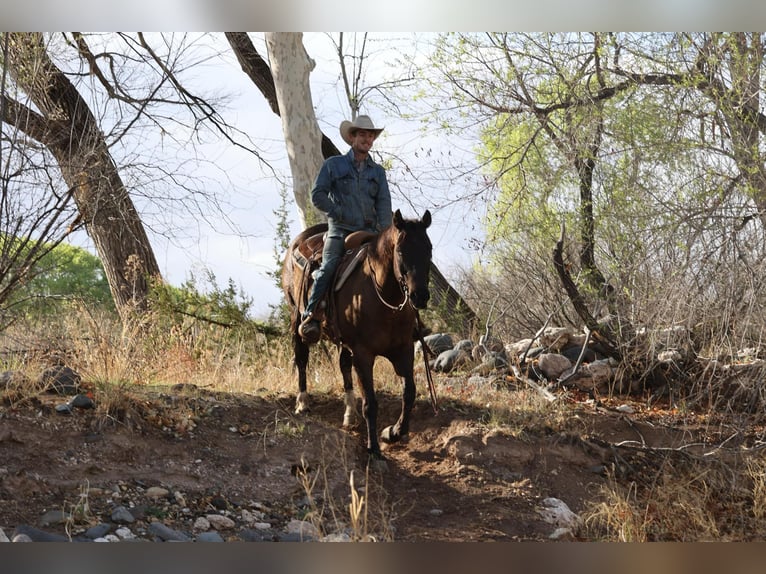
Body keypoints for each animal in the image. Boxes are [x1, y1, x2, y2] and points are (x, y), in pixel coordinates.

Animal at [281, 209, 433, 461]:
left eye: (429, 249)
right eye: (401, 251)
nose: (419, 296)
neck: (385, 300)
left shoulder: (403, 350)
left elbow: (409, 393)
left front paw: (392, 432)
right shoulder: (363, 354)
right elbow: (370, 402)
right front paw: (374, 448)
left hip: (342, 341)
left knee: (343, 366)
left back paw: (349, 414)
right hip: (296, 318)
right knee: (301, 357)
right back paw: (302, 403)